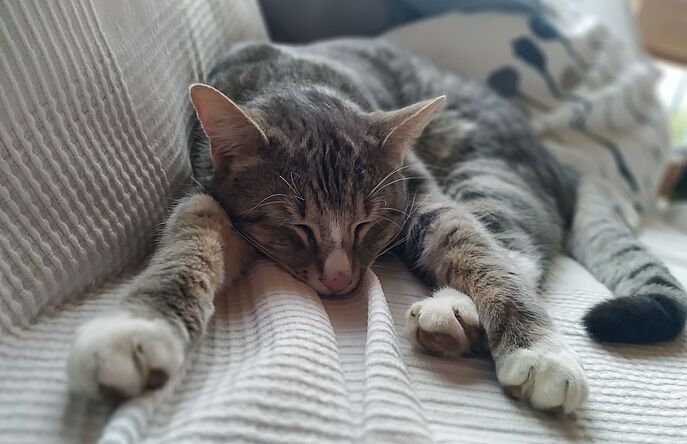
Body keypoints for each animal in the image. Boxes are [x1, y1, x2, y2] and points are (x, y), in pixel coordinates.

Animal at [66, 38, 687, 412]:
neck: (296, 78)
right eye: (296, 229)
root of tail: (563, 162)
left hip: (485, 168)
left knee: (514, 244)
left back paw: (452, 308)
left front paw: (540, 351)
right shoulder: (207, 196)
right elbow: (187, 242)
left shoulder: (421, 194)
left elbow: (477, 248)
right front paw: (136, 329)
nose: (342, 280)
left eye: (368, 224)